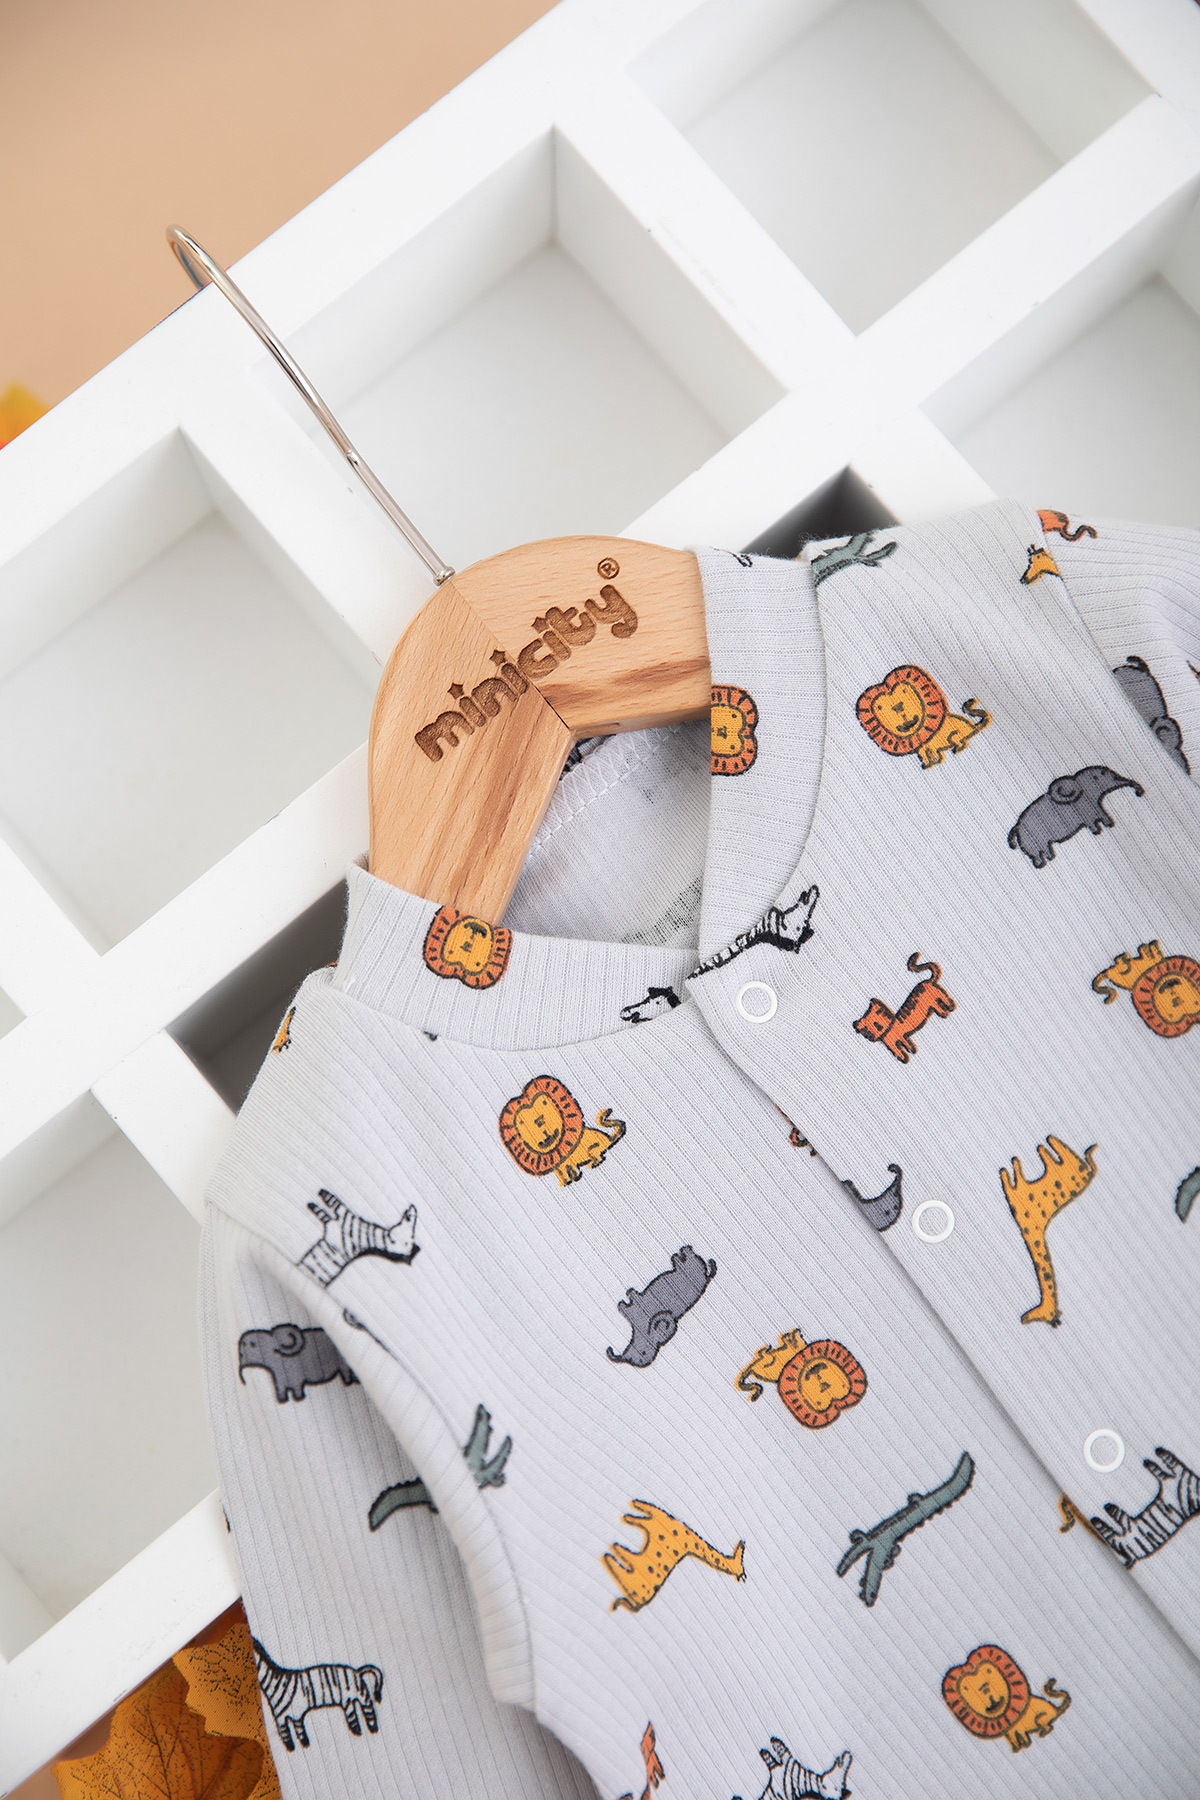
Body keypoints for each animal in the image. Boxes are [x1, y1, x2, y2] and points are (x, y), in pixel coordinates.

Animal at [1007, 766, 1144, 868]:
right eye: (1099, 776)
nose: (1138, 792)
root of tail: (1016, 827)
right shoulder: (1086, 810)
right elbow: (1093, 821)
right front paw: (1098, 829)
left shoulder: (1094, 807)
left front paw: (1104, 826)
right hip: (1031, 841)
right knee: (1037, 854)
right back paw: (1042, 863)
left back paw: (1050, 857)